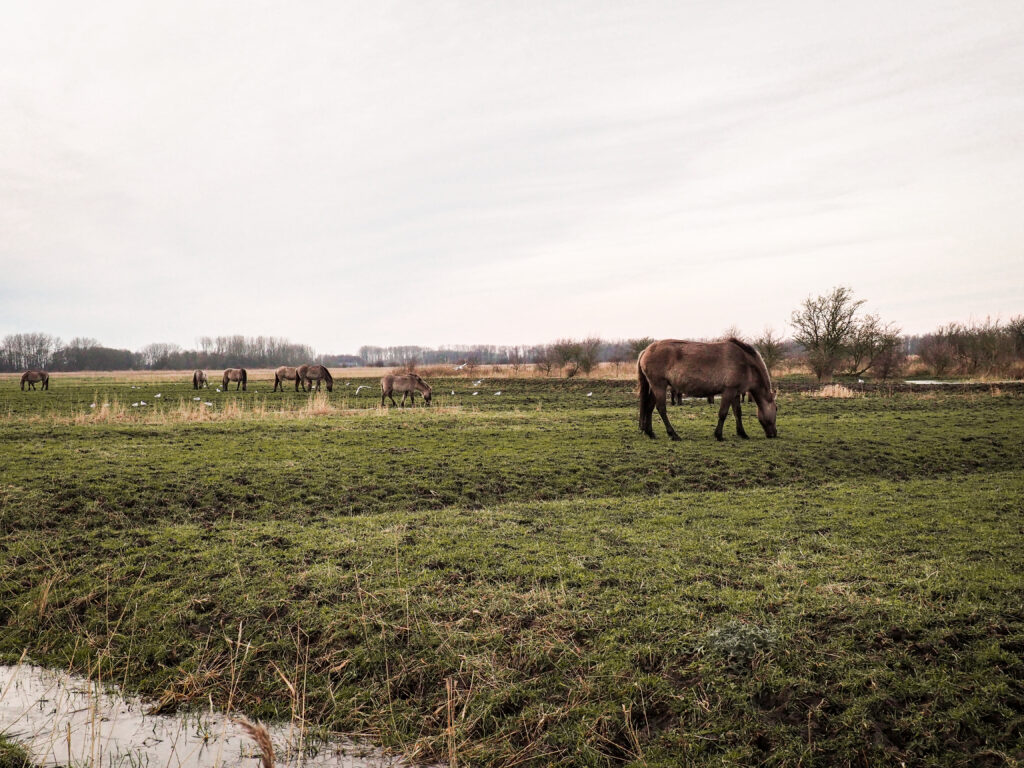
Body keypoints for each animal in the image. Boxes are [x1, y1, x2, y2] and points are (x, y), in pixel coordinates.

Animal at [634, 339, 778, 442]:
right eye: (776, 409)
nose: (774, 434)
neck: (746, 363)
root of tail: (646, 351)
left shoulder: (736, 393)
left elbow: (738, 412)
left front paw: (742, 433)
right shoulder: (729, 392)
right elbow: (723, 413)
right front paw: (719, 435)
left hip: (655, 387)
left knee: (649, 407)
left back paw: (650, 433)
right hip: (659, 386)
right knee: (661, 408)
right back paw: (673, 434)